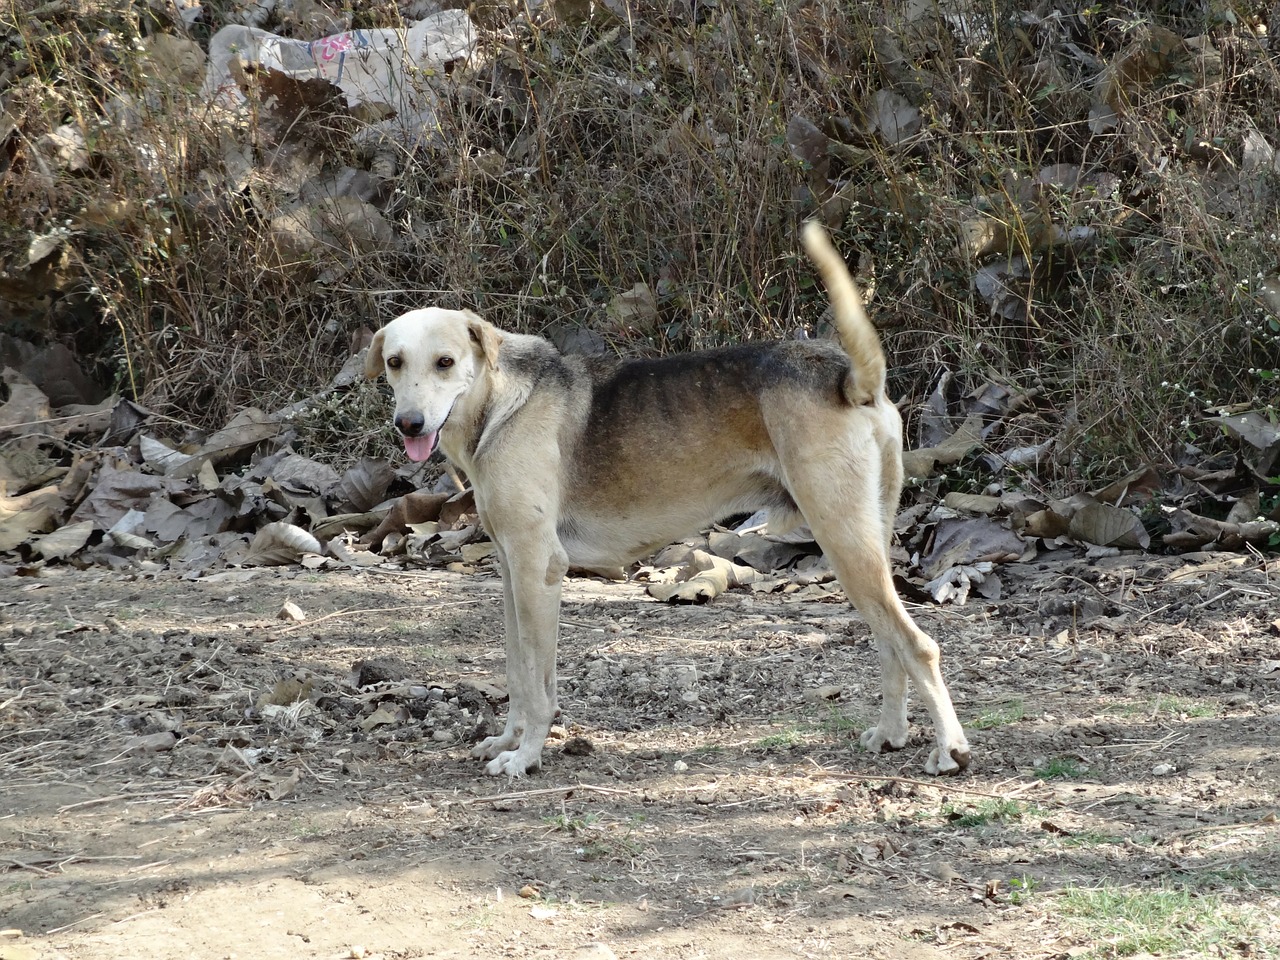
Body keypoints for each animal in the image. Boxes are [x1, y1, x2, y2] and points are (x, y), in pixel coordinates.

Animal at [366, 225, 972, 783]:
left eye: (445, 363)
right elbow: (520, 672)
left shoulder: (539, 568)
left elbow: (537, 686)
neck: (499, 402)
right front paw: (509, 741)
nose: (409, 425)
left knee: (918, 646)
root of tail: (845, 375)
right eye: (394, 362)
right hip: (866, 545)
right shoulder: (513, 571)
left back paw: (949, 750)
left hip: (844, 543)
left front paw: (526, 756)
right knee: (889, 644)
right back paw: (891, 733)